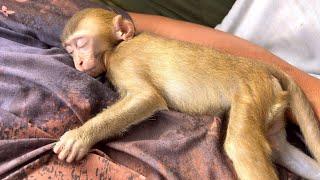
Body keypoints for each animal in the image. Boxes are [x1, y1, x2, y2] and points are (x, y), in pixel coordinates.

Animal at [53, 8, 320, 180]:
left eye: (81, 43)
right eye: (70, 50)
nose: (77, 62)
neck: (116, 47)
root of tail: (260, 67)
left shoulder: (123, 61)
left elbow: (147, 97)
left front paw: (80, 137)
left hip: (251, 92)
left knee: (240, 145)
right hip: (269, 105)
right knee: (279, 148)